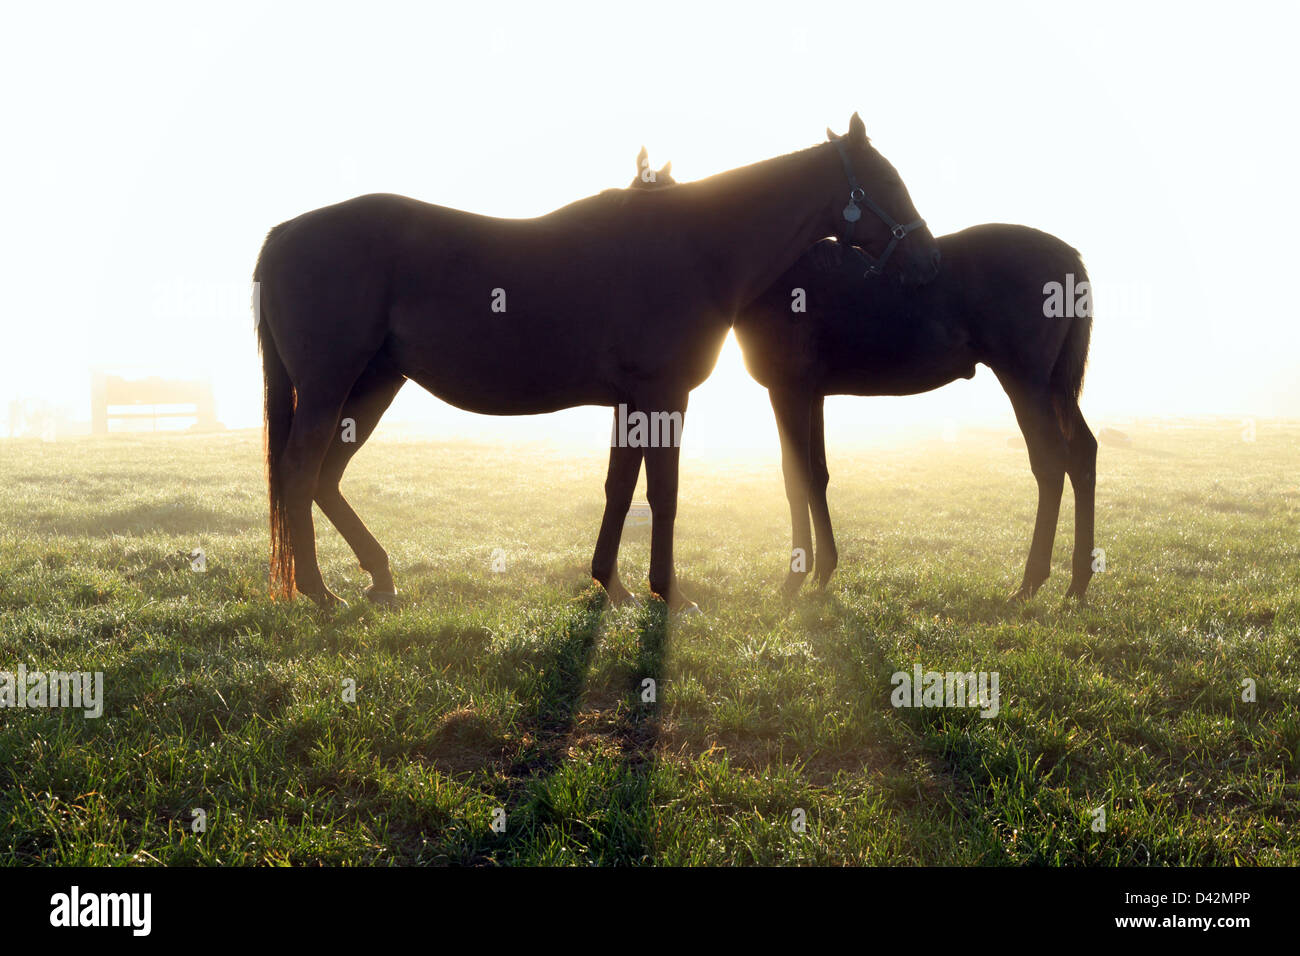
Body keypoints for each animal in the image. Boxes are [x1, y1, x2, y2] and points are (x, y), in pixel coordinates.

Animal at [253, 117, 941, 613]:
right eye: (885, 180)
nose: (925, 261)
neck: (694, 250)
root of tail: (285, 233)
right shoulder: (663, 396)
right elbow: (662, 492)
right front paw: (668, 591)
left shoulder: (630, 401)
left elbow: (620, 487)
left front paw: (612, 584)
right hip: (330, 388)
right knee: (300, 471)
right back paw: (319, 591)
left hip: (374, 386)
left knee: (323, 478)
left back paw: (378, 577)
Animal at [629, 149, 1097, 600]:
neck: (783, 277)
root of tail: (1069, 256)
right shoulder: (812, 394)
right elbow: (817, 473)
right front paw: (822, 572)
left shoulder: (787, 391)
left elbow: (795, 475)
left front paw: (794, 579)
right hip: (1054, 388)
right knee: (1083, 454)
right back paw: (1077, 582)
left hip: (1026, 383)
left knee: (1051, 463)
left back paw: (1031, 582)